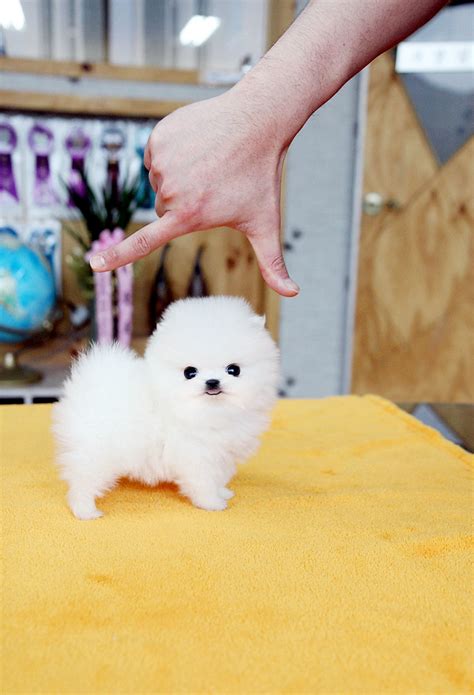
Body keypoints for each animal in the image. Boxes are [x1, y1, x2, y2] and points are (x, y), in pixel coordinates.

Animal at [52, 296, 278, 520]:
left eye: (234, 370)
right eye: (190, 372)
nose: (212, 382)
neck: (209, 411)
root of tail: (90, 383)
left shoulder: (222, 454)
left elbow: (218, 477)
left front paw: (222, 492)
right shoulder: (195, 455)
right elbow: (203, 482)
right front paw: (212, 503)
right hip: (96, 452)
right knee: (82, 482)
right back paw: (85, 511)